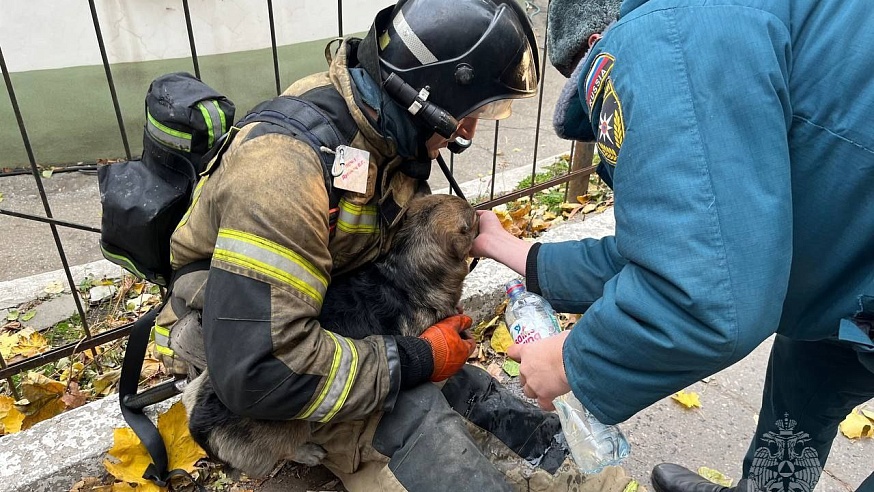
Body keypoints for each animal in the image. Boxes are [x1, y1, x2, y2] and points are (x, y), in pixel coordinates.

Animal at [180, 195, 474, 476]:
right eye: (471, 216)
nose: (479, 212)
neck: (404, 271)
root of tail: (199, 420)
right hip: (290, 422)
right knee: (285, 448)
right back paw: (307, 452)